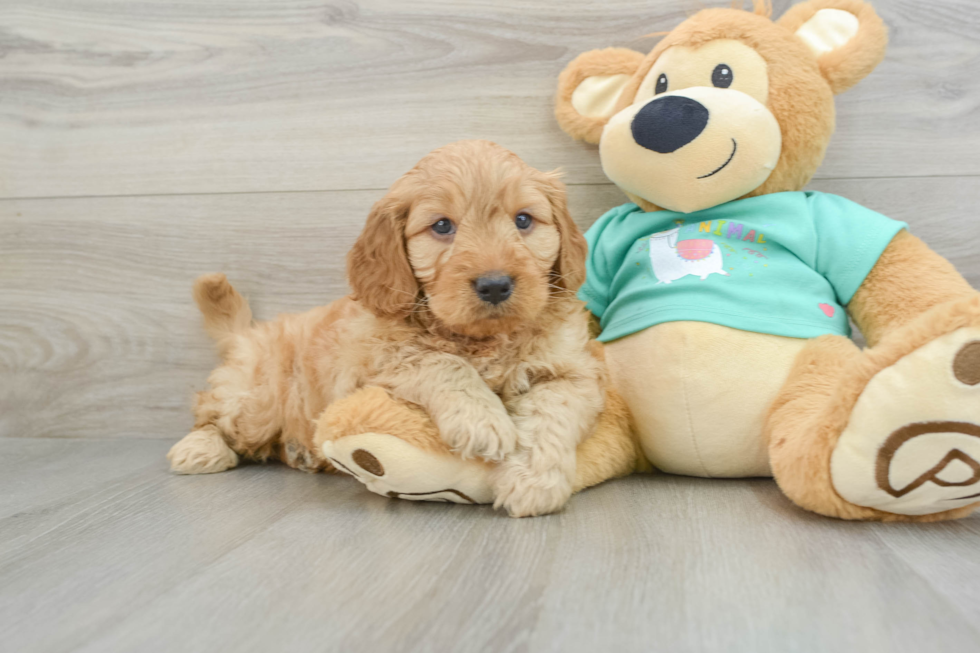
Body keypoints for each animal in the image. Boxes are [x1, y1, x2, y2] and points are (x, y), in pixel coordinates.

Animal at [168, 139, 612, 516]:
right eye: (442, 226)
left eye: (523, 220)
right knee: (211, 412)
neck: (482, 339)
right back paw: (200, 448)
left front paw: (532, 482)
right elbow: (441, 363)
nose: (495, 285)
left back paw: (298, 451)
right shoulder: (376, 361)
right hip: (256, 400)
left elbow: (551, 416)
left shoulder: (571, 373)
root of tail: (247, 334)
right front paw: (481, 420)